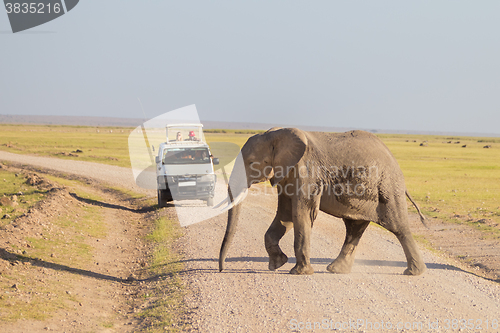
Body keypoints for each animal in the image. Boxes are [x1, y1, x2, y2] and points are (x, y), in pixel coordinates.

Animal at [217, 127, 428, 274]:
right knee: (354, 228)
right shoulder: (287, 174)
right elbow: (285, 215)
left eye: (251, 162)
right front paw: (277, 264)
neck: (275, 133)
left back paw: (414, 273)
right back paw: (336, 270)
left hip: (388, 186)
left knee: (399, 227)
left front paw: (299, 272)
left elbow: (301, 214)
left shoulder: (307, 172)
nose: (221, 269)